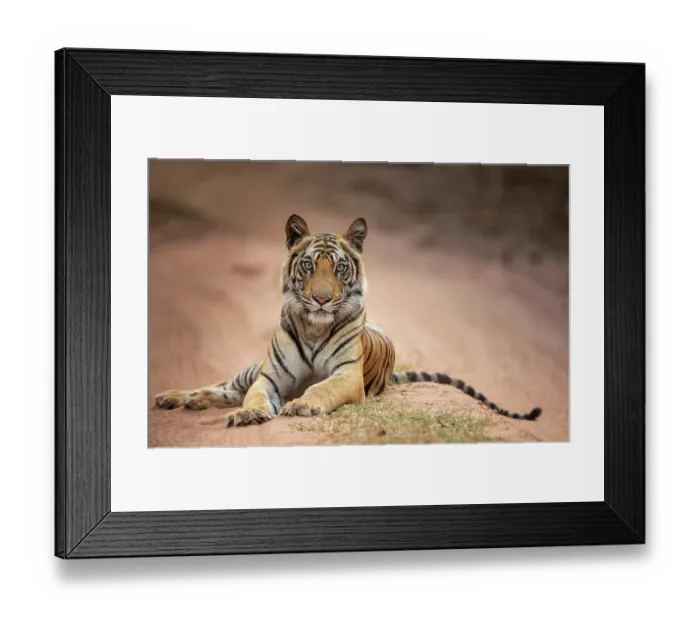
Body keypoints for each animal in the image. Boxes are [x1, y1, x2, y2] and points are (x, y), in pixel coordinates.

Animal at [154, 214, 542, 426]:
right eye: (309, 265)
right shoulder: (269, 376)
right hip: (250, 370)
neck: (314, 326)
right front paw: (248, 415)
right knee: (226, 385)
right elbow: (253, 398)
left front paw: (303, 404)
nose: (322, 299)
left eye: (340, 267)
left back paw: (189, 401)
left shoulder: (347, 376)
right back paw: (176, 397)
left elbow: (320, 388)